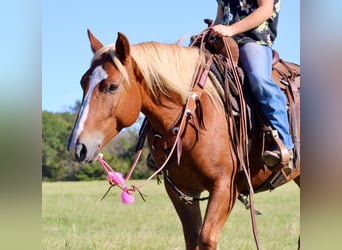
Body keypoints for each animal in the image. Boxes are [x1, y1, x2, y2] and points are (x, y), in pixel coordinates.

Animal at [67, 30, 300, 249]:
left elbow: (206, 239)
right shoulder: (181, 190)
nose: (77, 147)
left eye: (112, 86)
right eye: (82, 83)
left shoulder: (225, 186)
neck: (190, 115)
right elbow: (192, 239)